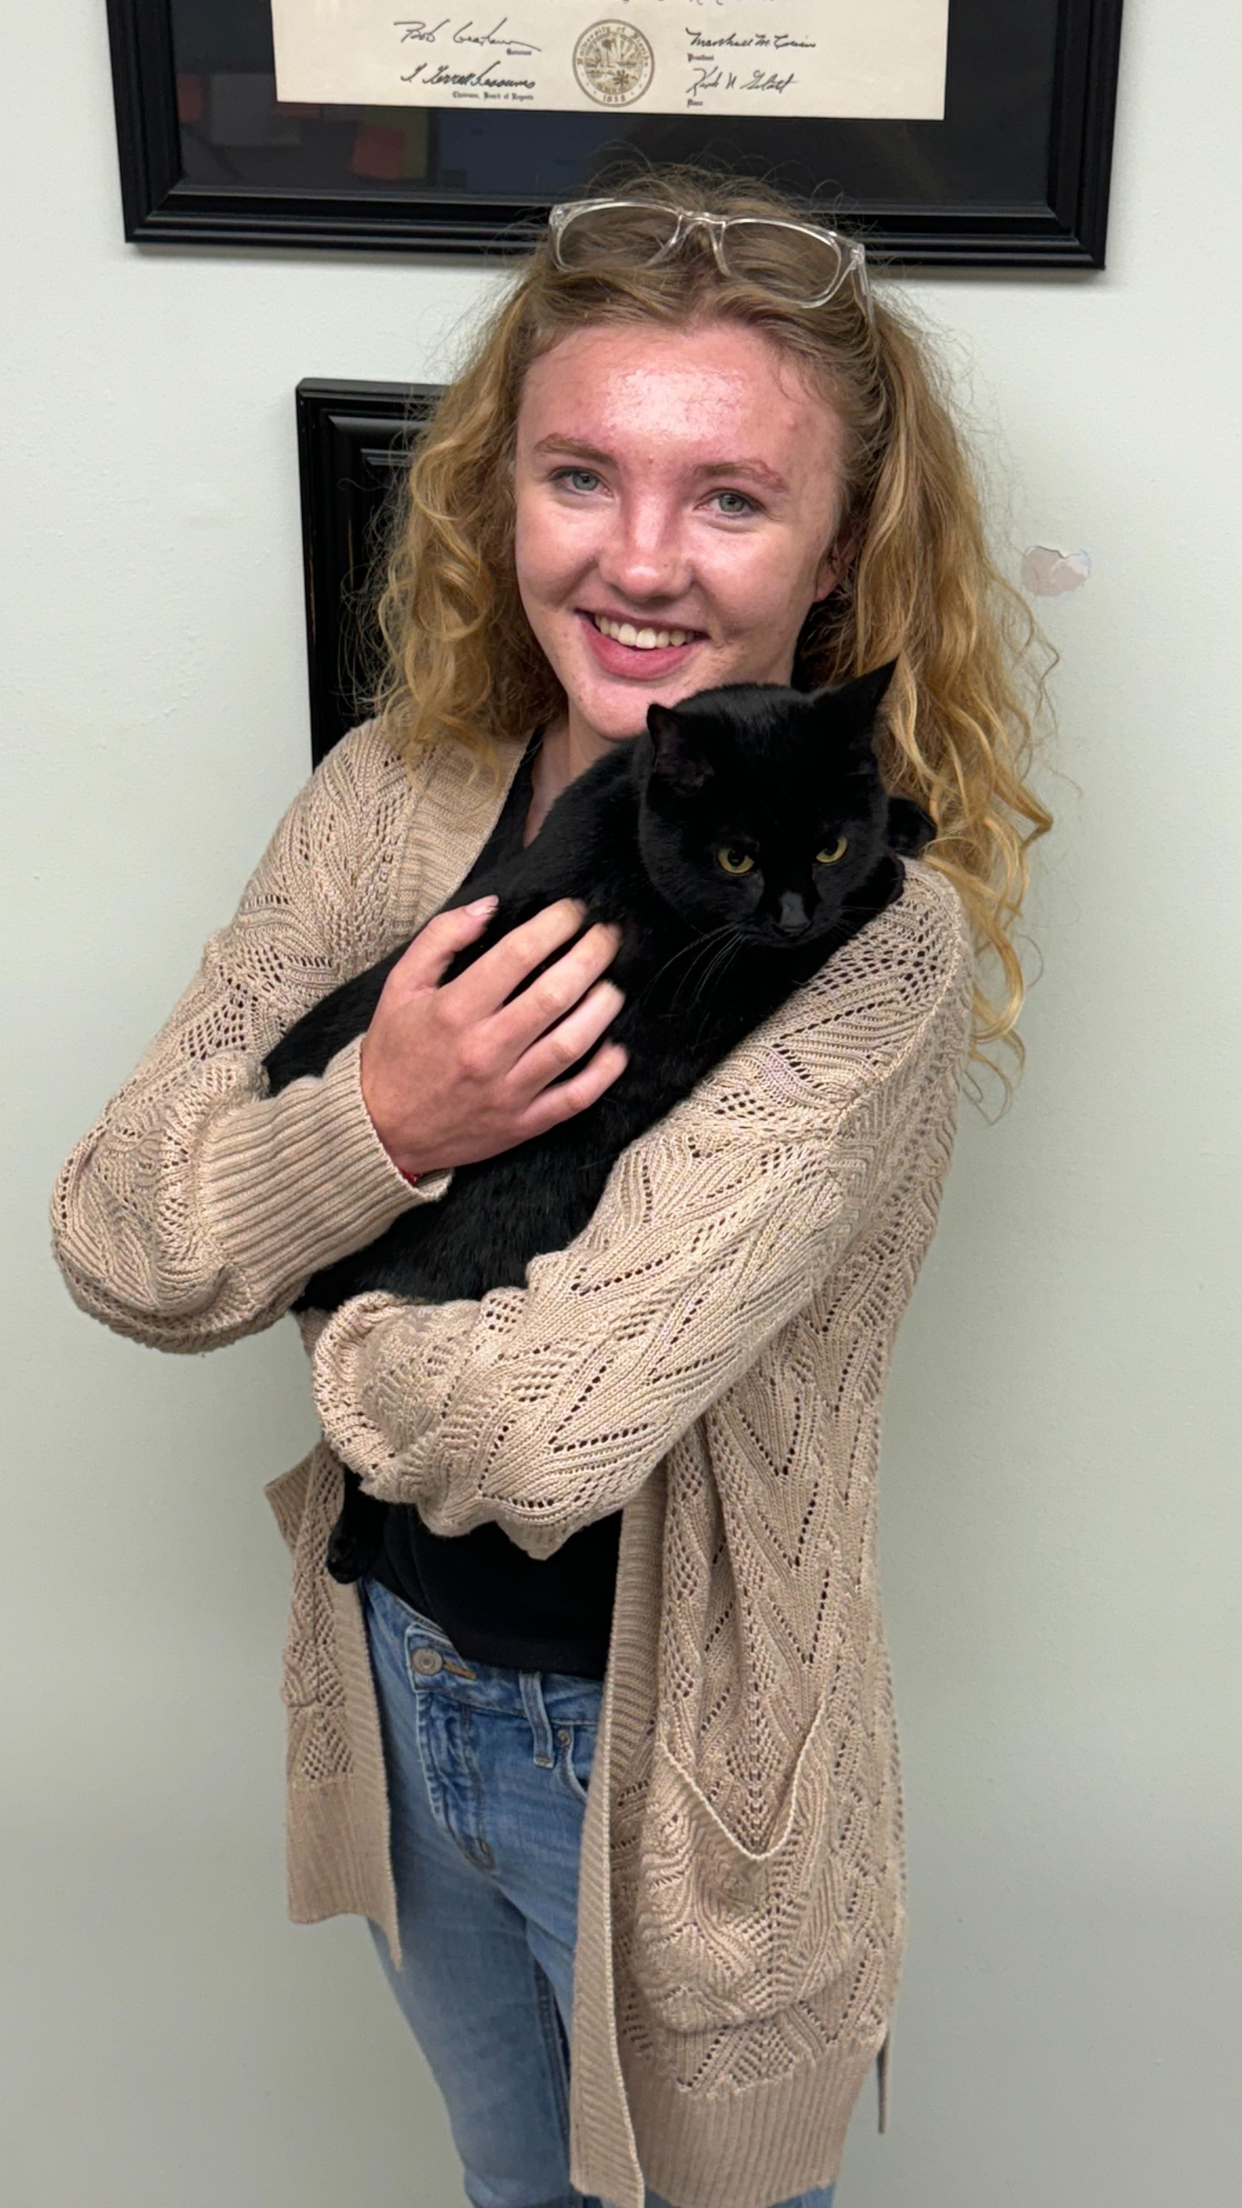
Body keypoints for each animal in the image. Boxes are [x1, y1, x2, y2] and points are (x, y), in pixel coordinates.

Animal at [263, 664, 933, 1580]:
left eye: (827, 845)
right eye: (736, 858)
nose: (796, 912)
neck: (630, 827)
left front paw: (901, 819)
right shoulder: (706, 987)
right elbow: (791, 952)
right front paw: (888, 870)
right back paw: (346, 1546)